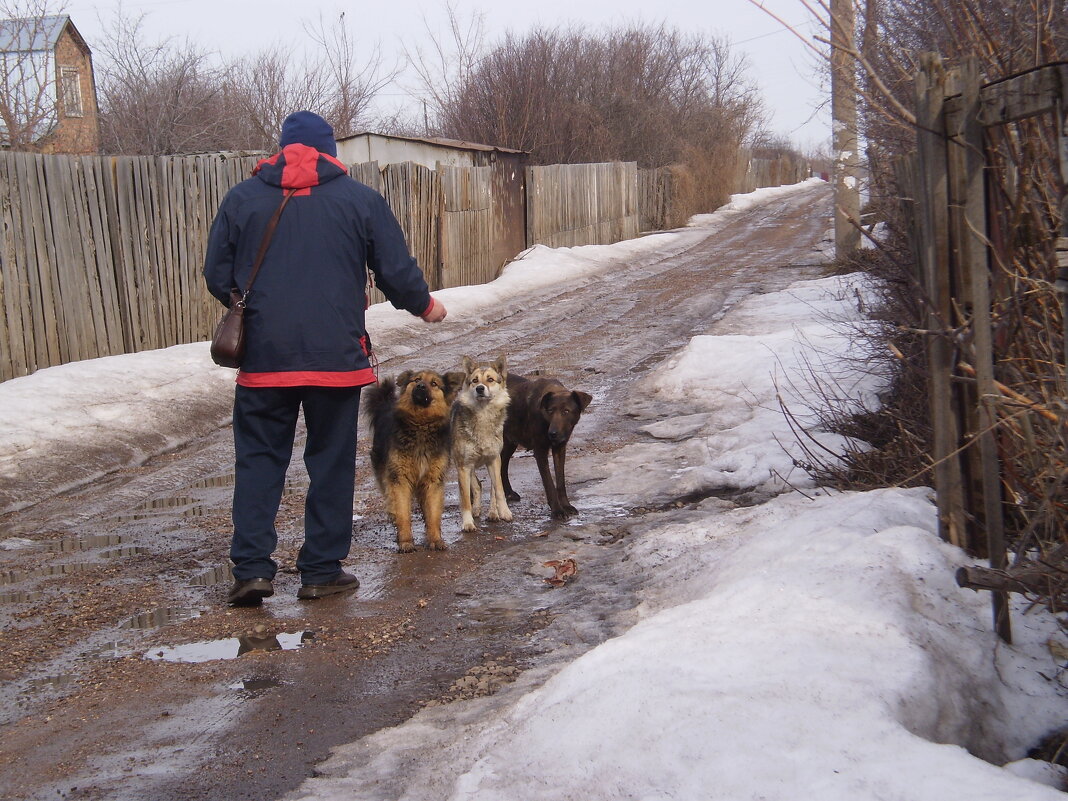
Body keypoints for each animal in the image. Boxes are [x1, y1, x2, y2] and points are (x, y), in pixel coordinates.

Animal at [365, 369, 461, 551]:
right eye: (416, 379)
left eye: (434, 383)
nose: (420, 386)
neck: (421, 424)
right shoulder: (400, 478)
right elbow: (403, 512)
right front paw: (406, 542)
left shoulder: (433, 479)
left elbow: (433, 513)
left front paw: (435, 539)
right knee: (389, 495)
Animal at [450, 356, 512, 534]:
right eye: (475, 380)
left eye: (490, 380)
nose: (479, 388)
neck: (483, 414)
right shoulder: (463, 466)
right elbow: (465, 498)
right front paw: (468, 522)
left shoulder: (494, 460)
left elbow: (499, 490)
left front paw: (504, 512)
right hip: (464, 466)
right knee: (477, 486)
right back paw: (476, 510)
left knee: (489, 488)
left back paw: (493, 513)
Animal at [499, 375, 593, 521]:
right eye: (550, 411)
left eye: (566, 411)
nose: (552, 433)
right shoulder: (540, 451)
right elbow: (549, 483)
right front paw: (557, 510)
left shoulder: (560, 448)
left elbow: (560, 482)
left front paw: (566, 505)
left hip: (510, 441)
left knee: (503, 463)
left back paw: (508, 492)